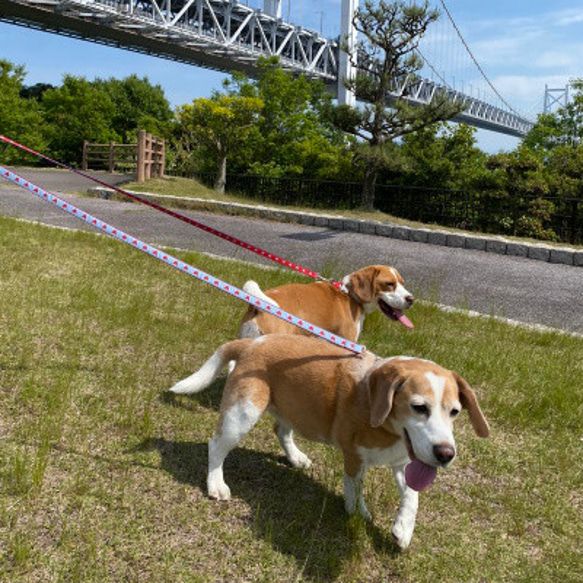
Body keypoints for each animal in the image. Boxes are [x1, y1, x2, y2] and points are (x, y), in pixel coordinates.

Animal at [171, 336, 490, 548]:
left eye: (455, 412)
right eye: (419, 407)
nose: (445, 453)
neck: (390, 429)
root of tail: (251, 343)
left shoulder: (404, 461)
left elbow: (413, 497)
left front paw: (402, 529)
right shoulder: (354, 457)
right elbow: (354, 489)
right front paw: (358, 512)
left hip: (294, 409)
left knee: (281, 430)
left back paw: (296, 457)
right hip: (242, 414)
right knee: (215, 446)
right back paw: (216, 484)